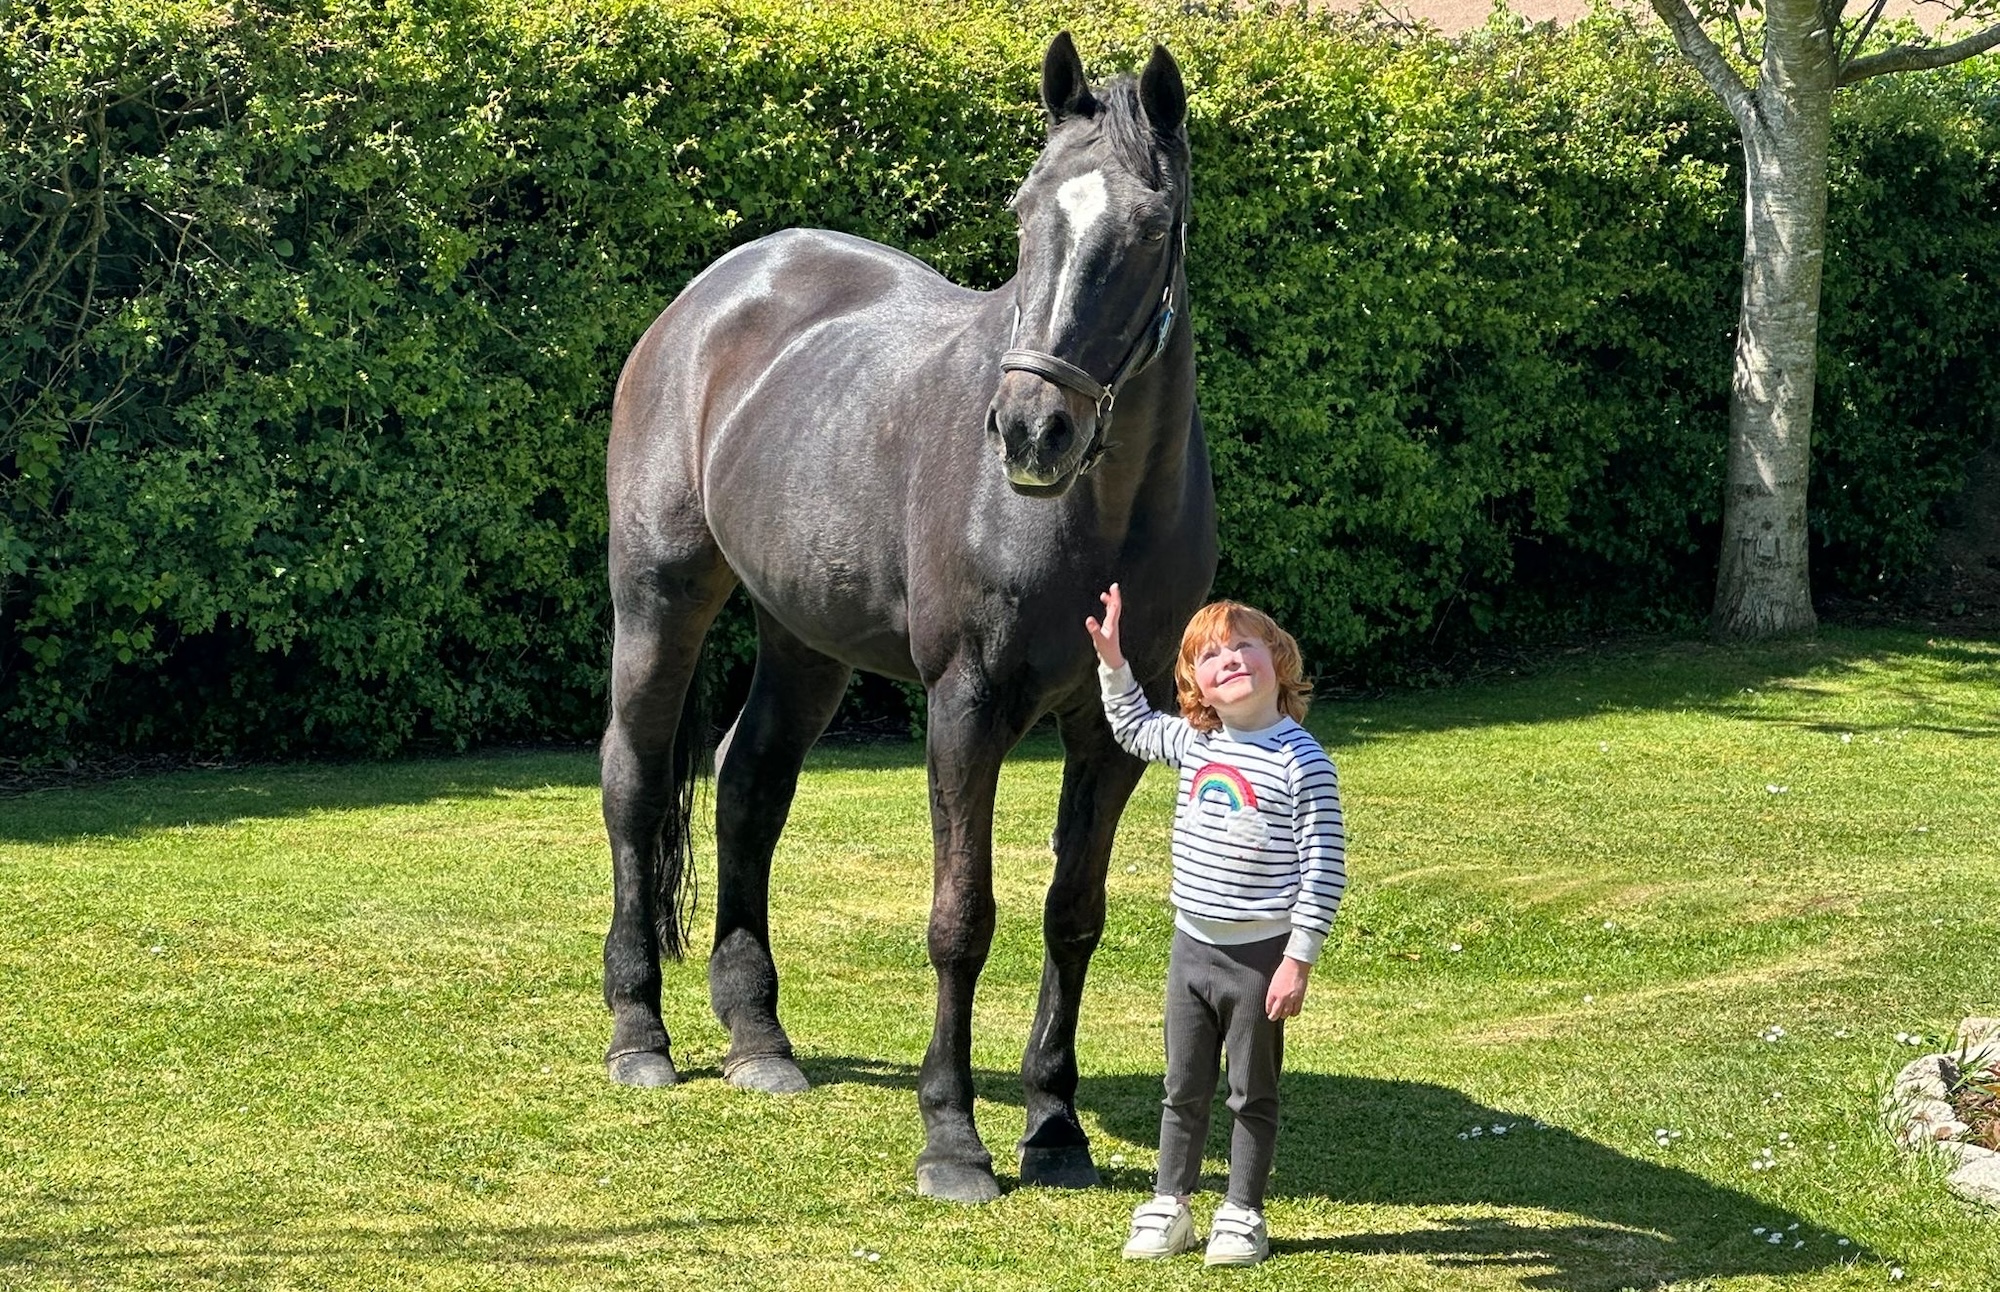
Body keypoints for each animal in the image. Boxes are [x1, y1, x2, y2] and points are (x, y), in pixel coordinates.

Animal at [600, 32, 1216, 1203]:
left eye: (1150, 227)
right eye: (1024, 213)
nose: (1029, 430)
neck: (1093, 519)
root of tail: (711, 296)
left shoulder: (1113, 729)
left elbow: (1072, 913)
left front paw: (1054, 1125)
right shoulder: (965, 709)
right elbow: (960, 917)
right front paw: (953, 1139)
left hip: (803, 640)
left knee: (749, 785)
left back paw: (758, 1038)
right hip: (659, 599)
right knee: (635, 782)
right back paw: (638, 1033)